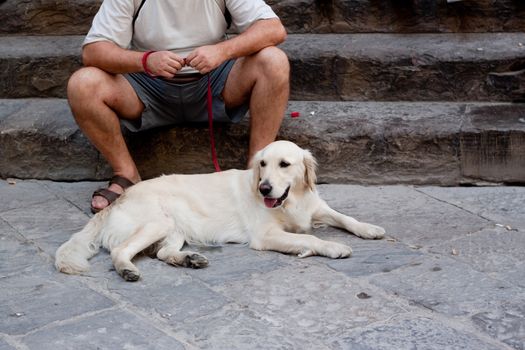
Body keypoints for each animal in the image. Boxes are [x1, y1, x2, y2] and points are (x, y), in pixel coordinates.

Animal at [56, 141, 384, 280]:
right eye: (262, 164)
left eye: (284, 164)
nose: (264, 188)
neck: (291, 201)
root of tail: (115, 202)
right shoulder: (265, 236)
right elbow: (310, 239)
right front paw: (333, 247)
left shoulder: (316, 208)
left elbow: (344, 217)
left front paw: (369, 228)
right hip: (156, 223)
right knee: (120, 251)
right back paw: (128, 270)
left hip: (174, 229)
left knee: (162, 253)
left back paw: (190, 259)